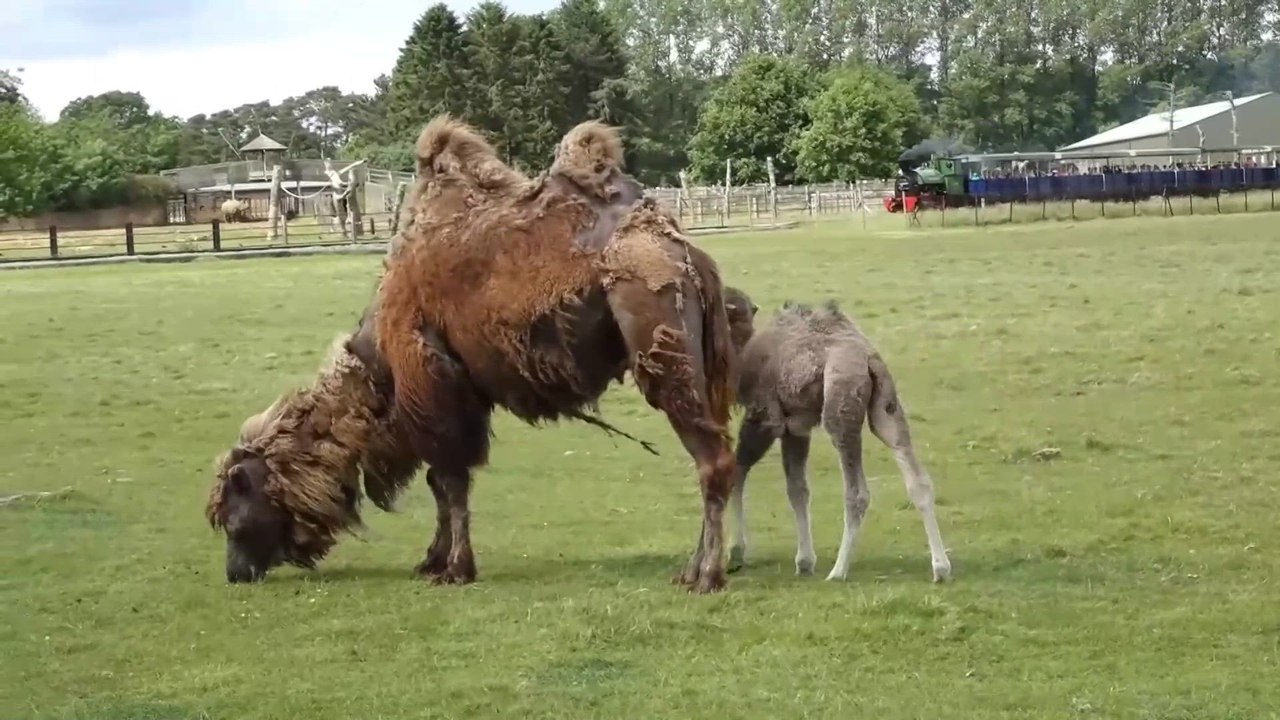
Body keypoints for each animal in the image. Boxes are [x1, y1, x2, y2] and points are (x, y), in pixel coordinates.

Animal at [205, 116, 739, 594]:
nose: (235, 572)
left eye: (233, 512)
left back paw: (706, 577)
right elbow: (441, 484)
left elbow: (449, 482)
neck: (376, 362)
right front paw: (432, 561)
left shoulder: (432, 391)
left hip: (662, 352)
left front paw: (454, 568)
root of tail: (686, 252)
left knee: (711, 459)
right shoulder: (460, 397)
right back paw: (690, 570)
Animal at [720, 288, 952, 583]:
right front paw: (804, 561)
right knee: (918, 479)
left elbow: (738, 471)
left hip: (839, 407)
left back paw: (838, 571)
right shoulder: (796, 426)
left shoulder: (765, 416)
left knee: (857, 492)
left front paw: (736, 552)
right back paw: (941, 567)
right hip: (886, 406)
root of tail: (869, 358)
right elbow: (797, 489)